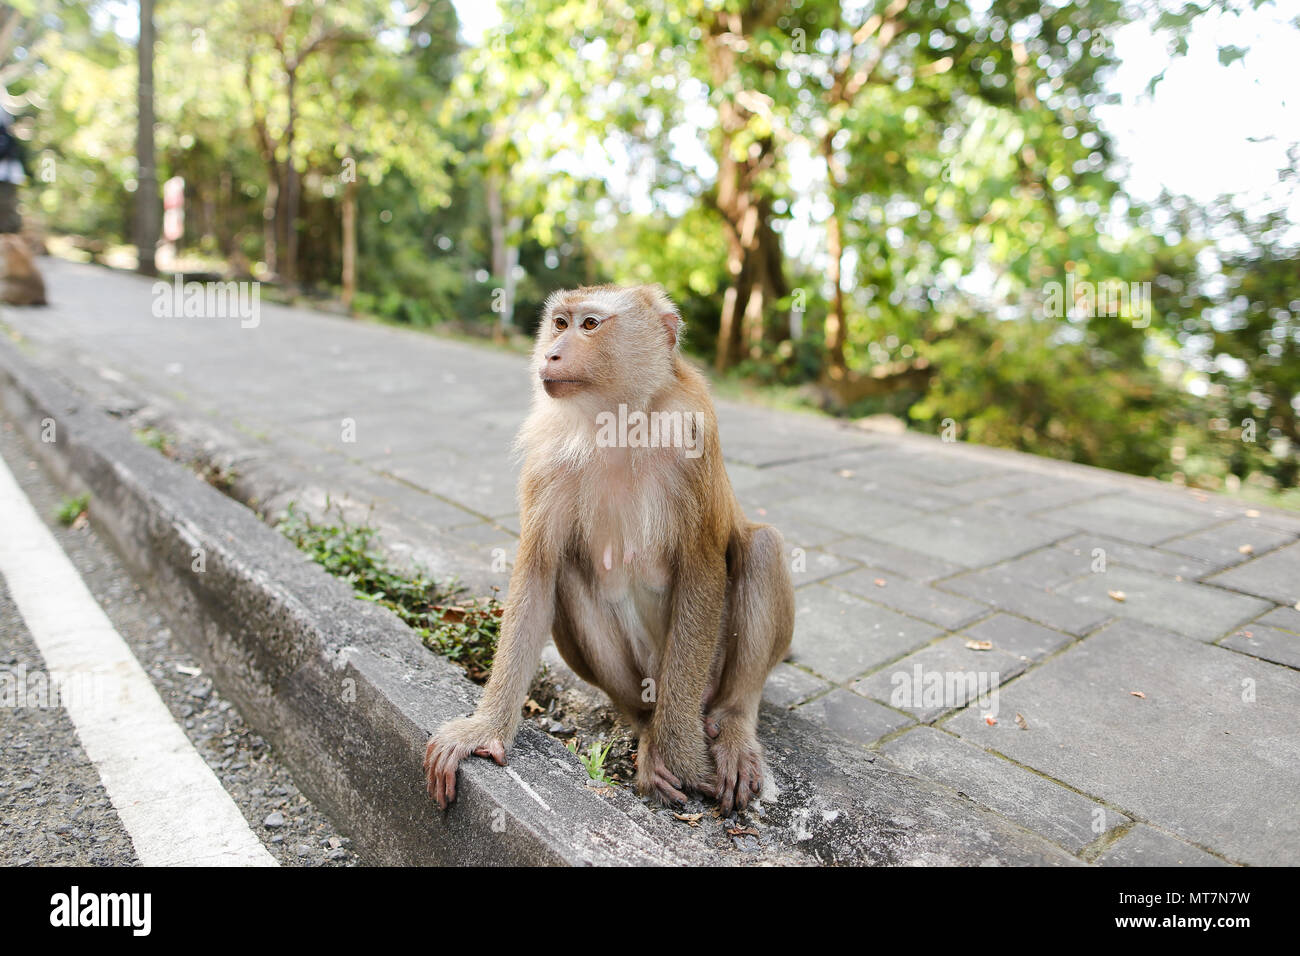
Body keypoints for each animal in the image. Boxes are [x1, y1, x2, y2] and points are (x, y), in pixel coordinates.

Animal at [423, 283, 790, 816]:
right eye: (559, 323)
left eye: (590, 325)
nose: (552, 353)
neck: (616, 420)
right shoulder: (547, 459)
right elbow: (540, 572)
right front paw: (484, 729)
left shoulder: (694, 435)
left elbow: (702, 570)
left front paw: (682, 756)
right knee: (567, 577)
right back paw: (643, 727)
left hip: (707, 674)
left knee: (762, 547)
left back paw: (731, 725)